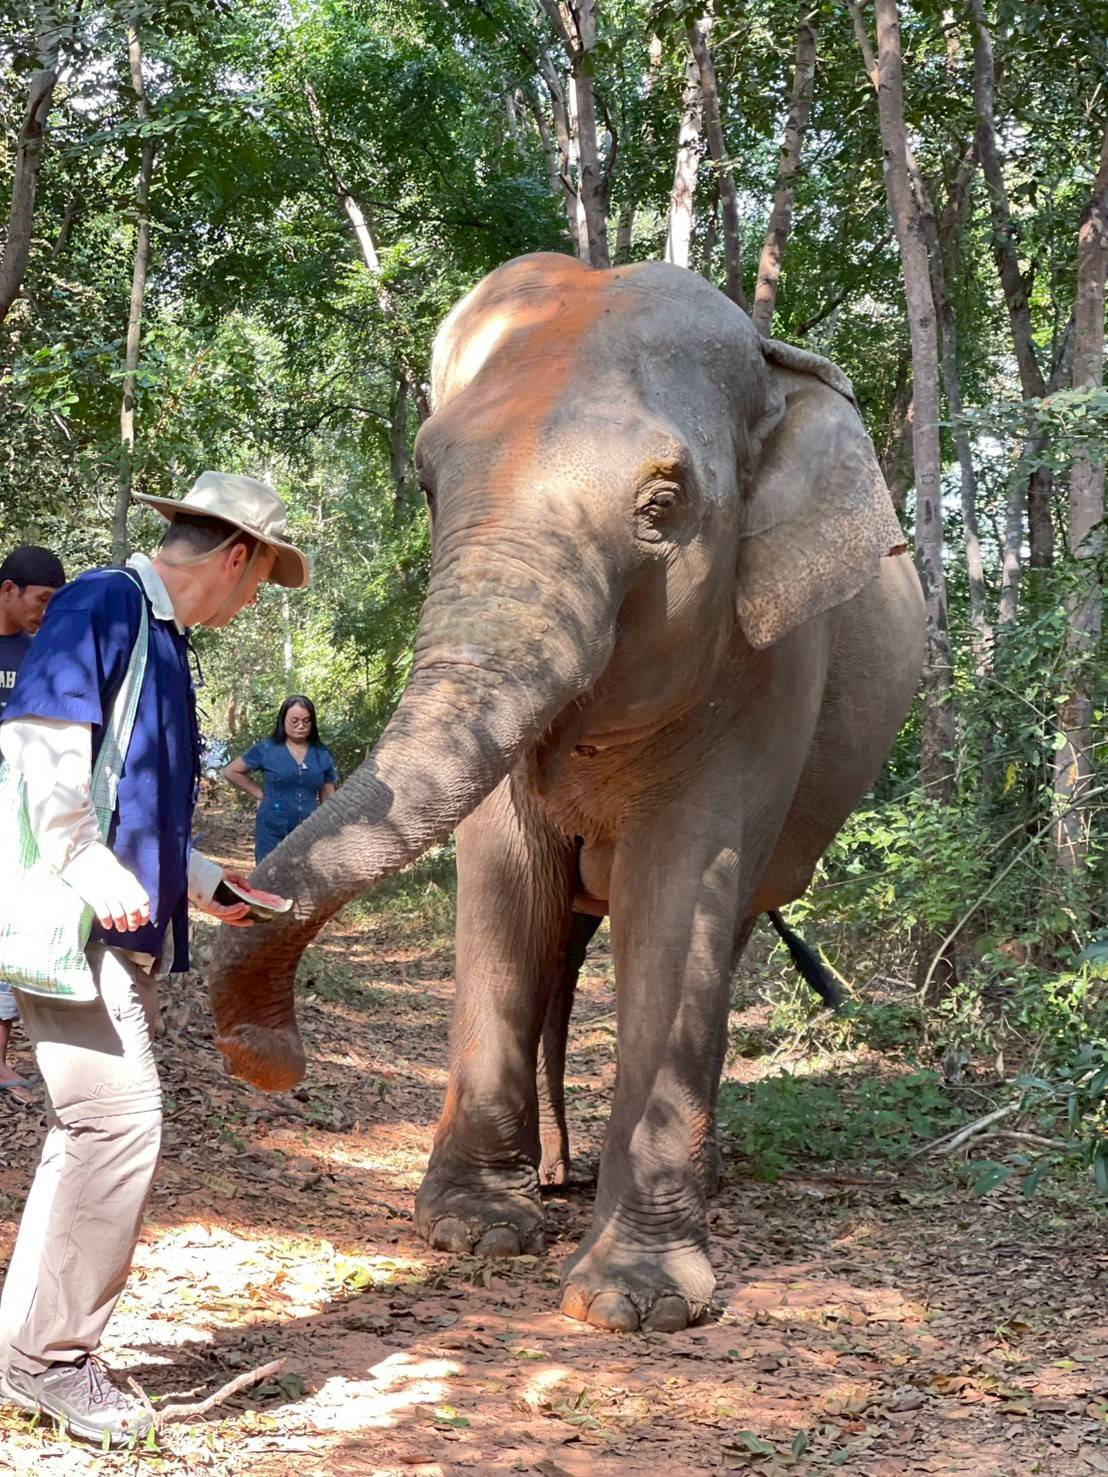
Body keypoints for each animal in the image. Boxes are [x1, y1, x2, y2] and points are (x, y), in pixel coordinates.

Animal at [207, 251, 925, 1334]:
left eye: (664, 504)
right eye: (427, 480)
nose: (271, 1057)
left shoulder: (767, 677)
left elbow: (678, 900)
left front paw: (635, 1301)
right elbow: (507, 883)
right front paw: (473, 1232)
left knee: (716, 932)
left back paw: (681, 1182)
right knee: (560, 945)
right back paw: (552, 1178)